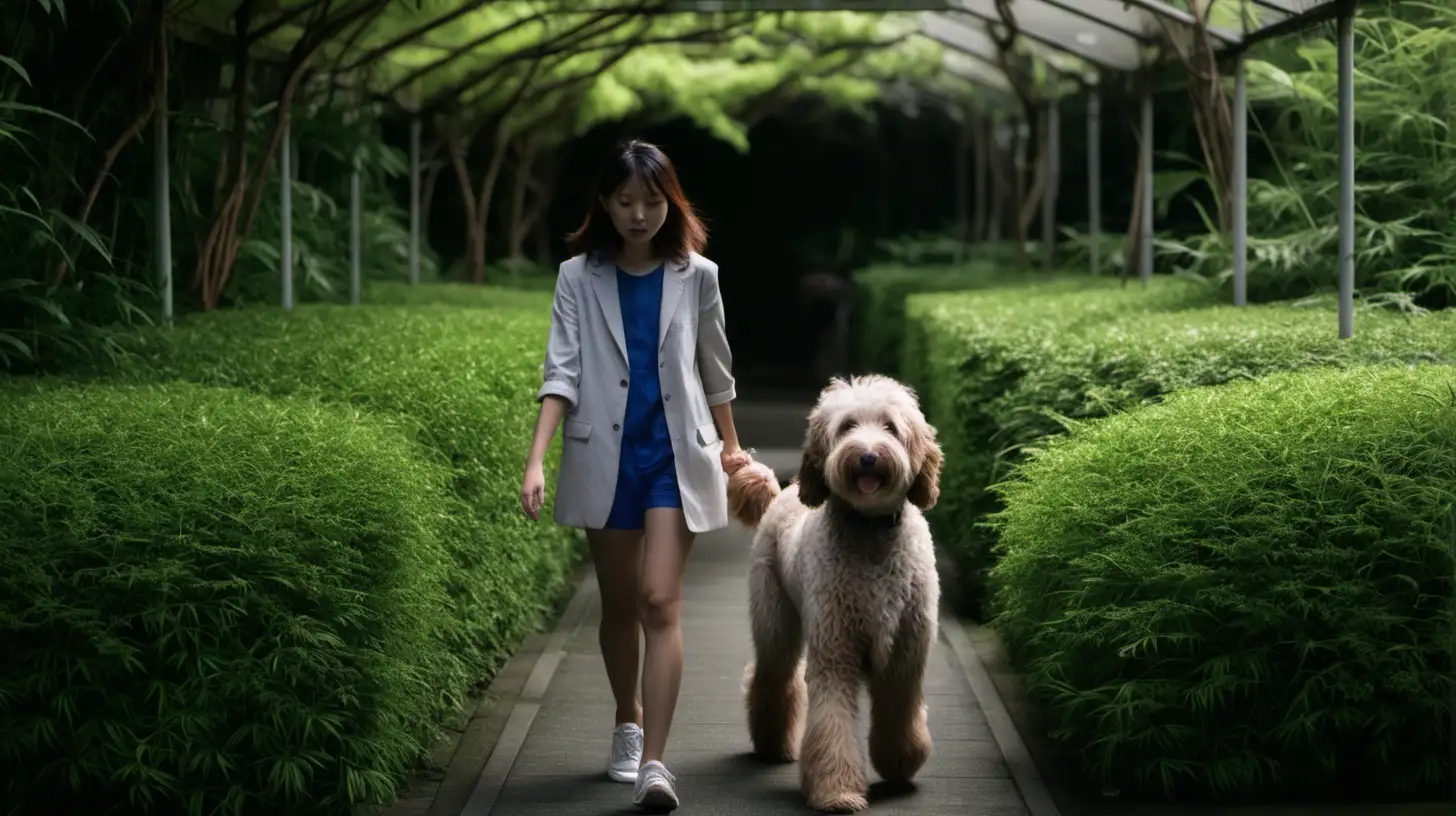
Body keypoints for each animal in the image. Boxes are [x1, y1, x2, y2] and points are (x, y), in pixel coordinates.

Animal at [728, 375, 943, 810]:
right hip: (775, 619)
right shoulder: (835, 650)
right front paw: (838, 791)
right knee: (773, 678)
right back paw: (773, 745)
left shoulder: (905, 654)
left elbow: (899, 711)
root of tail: (783, 492)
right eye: (847, 427)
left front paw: (900, 762)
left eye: (890, 427)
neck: (870, 529)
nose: (868, 456)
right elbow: (832, 723)